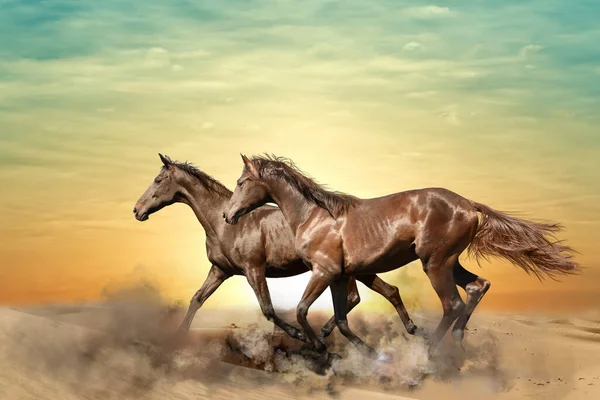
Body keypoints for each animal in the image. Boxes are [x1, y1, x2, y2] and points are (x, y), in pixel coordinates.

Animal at [134, 153, 420, 344]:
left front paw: (298, 334)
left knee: (356, 298)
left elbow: (267, 308)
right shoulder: (220, 270)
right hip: (359, 269)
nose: (137, 210)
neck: (223, 224)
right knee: (384, 292)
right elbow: (197, 299)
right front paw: (179, 335)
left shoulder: (254, 269)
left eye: (158, 180)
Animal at [223, 155, 580, 354]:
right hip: (449, 262)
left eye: (241, 182)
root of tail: (468, 204)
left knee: (453, 304)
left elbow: (301, 310)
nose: (227, 215)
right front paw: (344, 347)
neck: (314, 215)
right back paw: (457, 344)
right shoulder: (339, 275)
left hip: (436, 263)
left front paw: (318, 343)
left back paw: (433, 350)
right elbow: (342, 318)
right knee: (477, 287)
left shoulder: (324, 271)